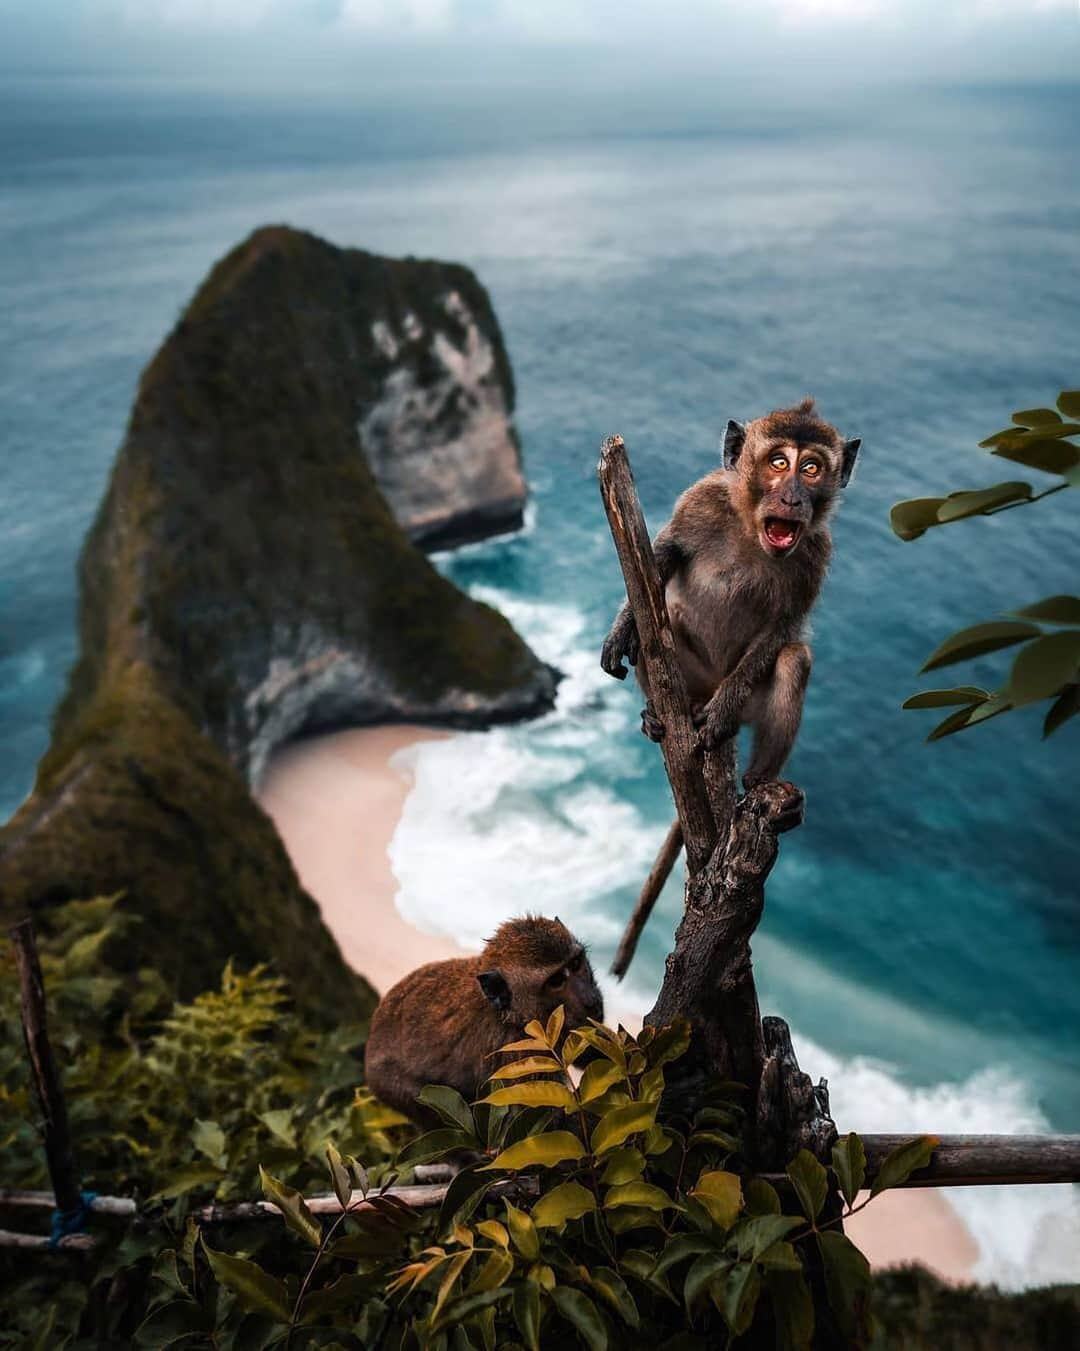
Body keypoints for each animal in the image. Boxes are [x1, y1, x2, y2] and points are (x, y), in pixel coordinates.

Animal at [362, 913, 600, 1124]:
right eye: (556, 981)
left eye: (576, 964)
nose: (590, 999)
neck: (510, 1016)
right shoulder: (518, 1055)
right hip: (391, 1085)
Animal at [600, 394, 859, 788]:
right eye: (779, 463)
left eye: (811, 468)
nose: (793, 499)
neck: (751, 528)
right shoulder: (699, 503)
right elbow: (665, 555)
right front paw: (622, 627)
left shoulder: (816, 553)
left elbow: (785, 624)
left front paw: (721, 714)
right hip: (691, 680)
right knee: (655, 632)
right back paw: (654, 716)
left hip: (748, 706)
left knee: (793, 659)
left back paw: (758, 781)